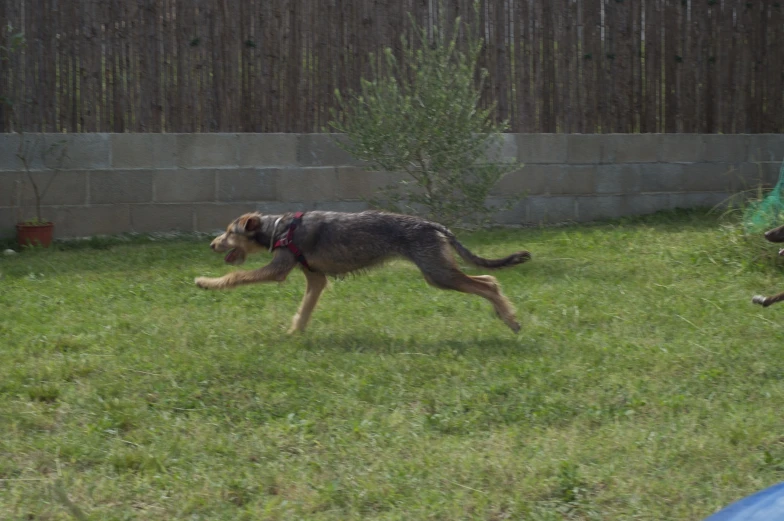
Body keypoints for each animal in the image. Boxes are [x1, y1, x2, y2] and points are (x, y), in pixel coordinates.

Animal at [194, 210, 532, 334]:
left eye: (230, 232)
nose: (212, 244)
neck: (278, 227)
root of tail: (433, 225)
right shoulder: (316, 278)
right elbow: (304, 310)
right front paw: (294, 334)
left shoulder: (278, 269)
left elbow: (236, 277)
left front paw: (206, 282)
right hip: (441, 271)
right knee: (488, 278)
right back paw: (505, 314)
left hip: (438, 274)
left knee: (487, 284)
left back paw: (511, 320)